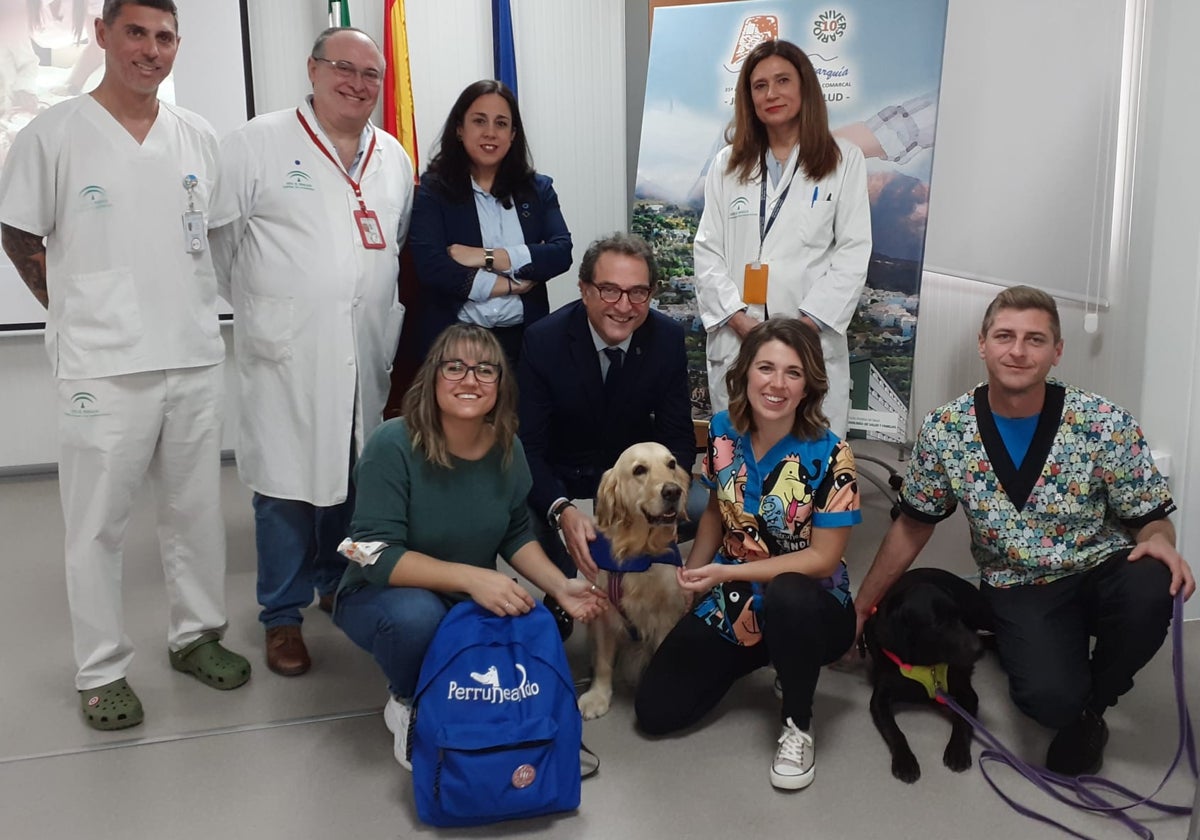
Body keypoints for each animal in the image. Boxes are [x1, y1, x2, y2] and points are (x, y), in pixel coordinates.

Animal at [573, 444, 691, 720]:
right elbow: (604, 662)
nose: (673, 491)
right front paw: (598, 696)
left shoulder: (666, 616)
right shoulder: (603, 613)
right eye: (639, 470)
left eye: (671, 464)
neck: (638, 552)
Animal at [864, 568, 993, 782]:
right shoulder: (879, 699)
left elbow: (963, 720)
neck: (924, 664)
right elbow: (895, 731)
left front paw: (957, 750)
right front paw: (905, 760)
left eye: (959, 616)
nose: (979, 649)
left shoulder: (966, 692)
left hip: (982, 614)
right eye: (938, 623)